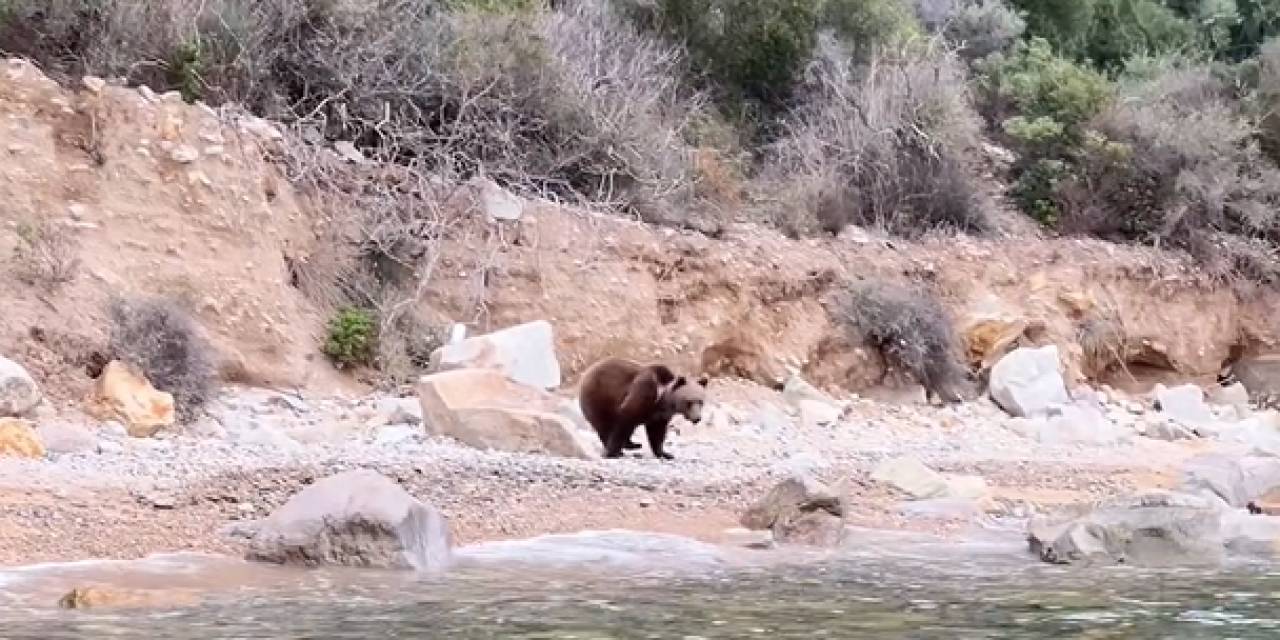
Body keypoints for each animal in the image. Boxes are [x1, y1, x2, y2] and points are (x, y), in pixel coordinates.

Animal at [581, 355, 711, 460]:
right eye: (689, 402)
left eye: (701, 402)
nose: (697, 418)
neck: (662, 400)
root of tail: (588, 371)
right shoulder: (643, 392)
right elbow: (625, 419)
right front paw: (611, 453)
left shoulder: (659, 415)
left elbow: (657, 433)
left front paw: (665, 453)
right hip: (599, 398)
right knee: (605, 425)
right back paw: (622, 448)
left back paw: (633, 444)